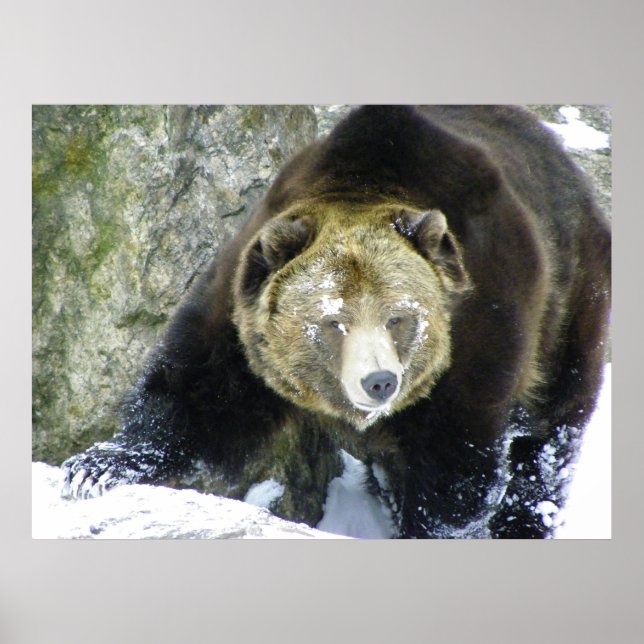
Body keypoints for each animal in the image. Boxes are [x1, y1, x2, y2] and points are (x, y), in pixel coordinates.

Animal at [61, 105, 611, 538]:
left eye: (398, 318)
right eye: (332, 322)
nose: (379, 381)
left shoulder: (482, 326)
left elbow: (457, 464)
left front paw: (436, 527)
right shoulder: (245, 306)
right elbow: (197, 391)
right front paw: (96, 467)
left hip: (570, 305)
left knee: (547, 435)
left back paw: (525, 519)